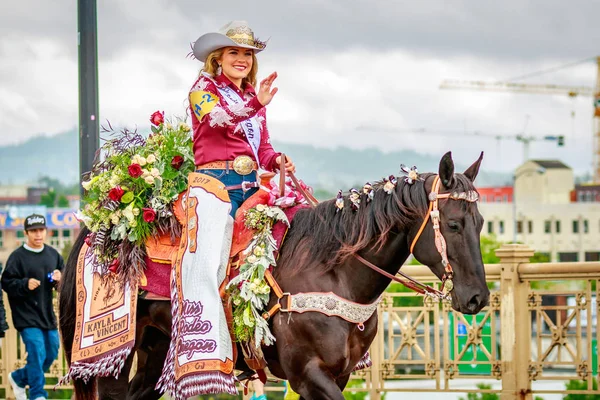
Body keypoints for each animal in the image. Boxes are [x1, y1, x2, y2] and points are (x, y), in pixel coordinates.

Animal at [59, 151, 488, 400]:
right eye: (453, 224)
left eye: (482, 222)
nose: (478, 298)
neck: (332, 274)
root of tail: (96, 231)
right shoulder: (308, 374)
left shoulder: (339, 373)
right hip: (115, 357)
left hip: (155, 348)